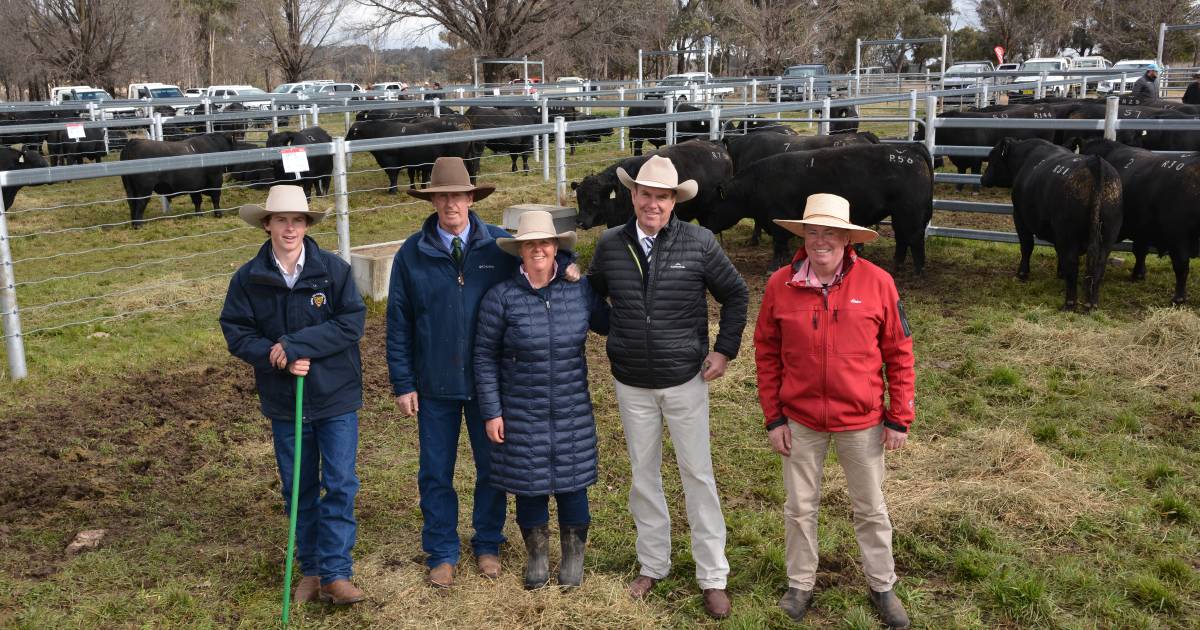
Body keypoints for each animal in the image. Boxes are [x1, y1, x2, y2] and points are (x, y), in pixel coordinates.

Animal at [700, 143, 936, 273]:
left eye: (712, 209)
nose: (705, 227)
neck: (757, 183)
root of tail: (910, 148)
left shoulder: (776, 219)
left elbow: (778, 244)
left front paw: (773, 266)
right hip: (901, 214)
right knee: (903, 240)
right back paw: (896, 267)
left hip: (909, 212)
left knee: (914, 239)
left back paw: (918, 271)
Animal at [979, 139, 1118, 312]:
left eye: (992, 157)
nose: (982, 179)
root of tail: (1095, 162)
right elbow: (1059, 252)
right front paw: (1060, 272)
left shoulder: (1020, 217)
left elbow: (1026, 246)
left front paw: (1022, 273)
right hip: (1106, 238)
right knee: (1098, 266)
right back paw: (1091, 304)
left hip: (1068, 234)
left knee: (1072, 263)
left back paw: (1069, 303)